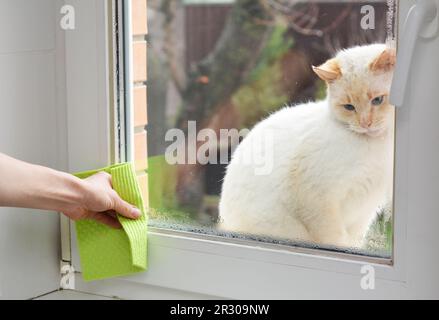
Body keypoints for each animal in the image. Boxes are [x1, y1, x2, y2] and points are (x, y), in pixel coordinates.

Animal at [219, 43, 396, 248]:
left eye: (377, 100)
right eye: (349, 107)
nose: (365, 124)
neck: (377, 145)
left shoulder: (365, 210)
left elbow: (352, 241)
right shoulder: (317, 198)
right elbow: (334, 239)